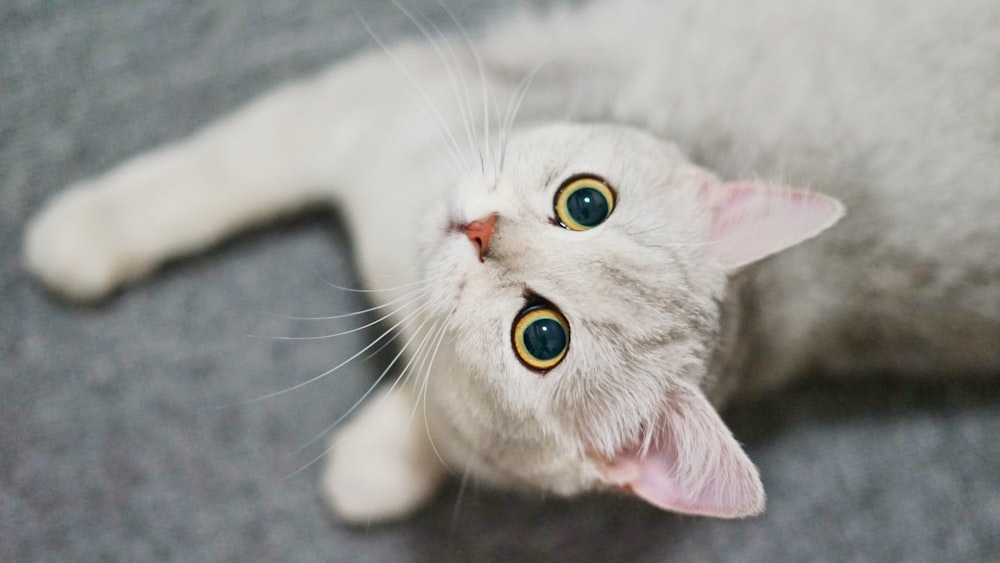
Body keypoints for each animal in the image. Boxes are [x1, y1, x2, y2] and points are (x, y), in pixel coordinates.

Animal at [21, 0, 1000, 528]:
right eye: (586, 201)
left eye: (542, 337)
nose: (481, 230)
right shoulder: (365, 104)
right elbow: (223, 170)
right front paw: (84, 232)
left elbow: (441, 429)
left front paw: (379, 462)